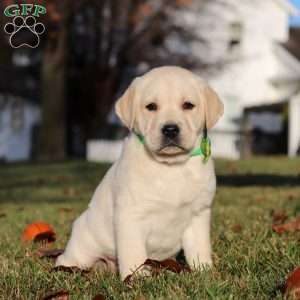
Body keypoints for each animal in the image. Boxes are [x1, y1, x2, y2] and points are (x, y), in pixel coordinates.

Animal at [55, 65, 223, 278]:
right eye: (151, 106)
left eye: (188, 105)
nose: (170, 129)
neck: (171, 167)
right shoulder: (130, 216)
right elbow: (133, 251)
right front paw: (136, 277)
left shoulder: (198, 214)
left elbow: (199, 248)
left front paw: (204, 271)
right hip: (84, 245)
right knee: (68, 258)